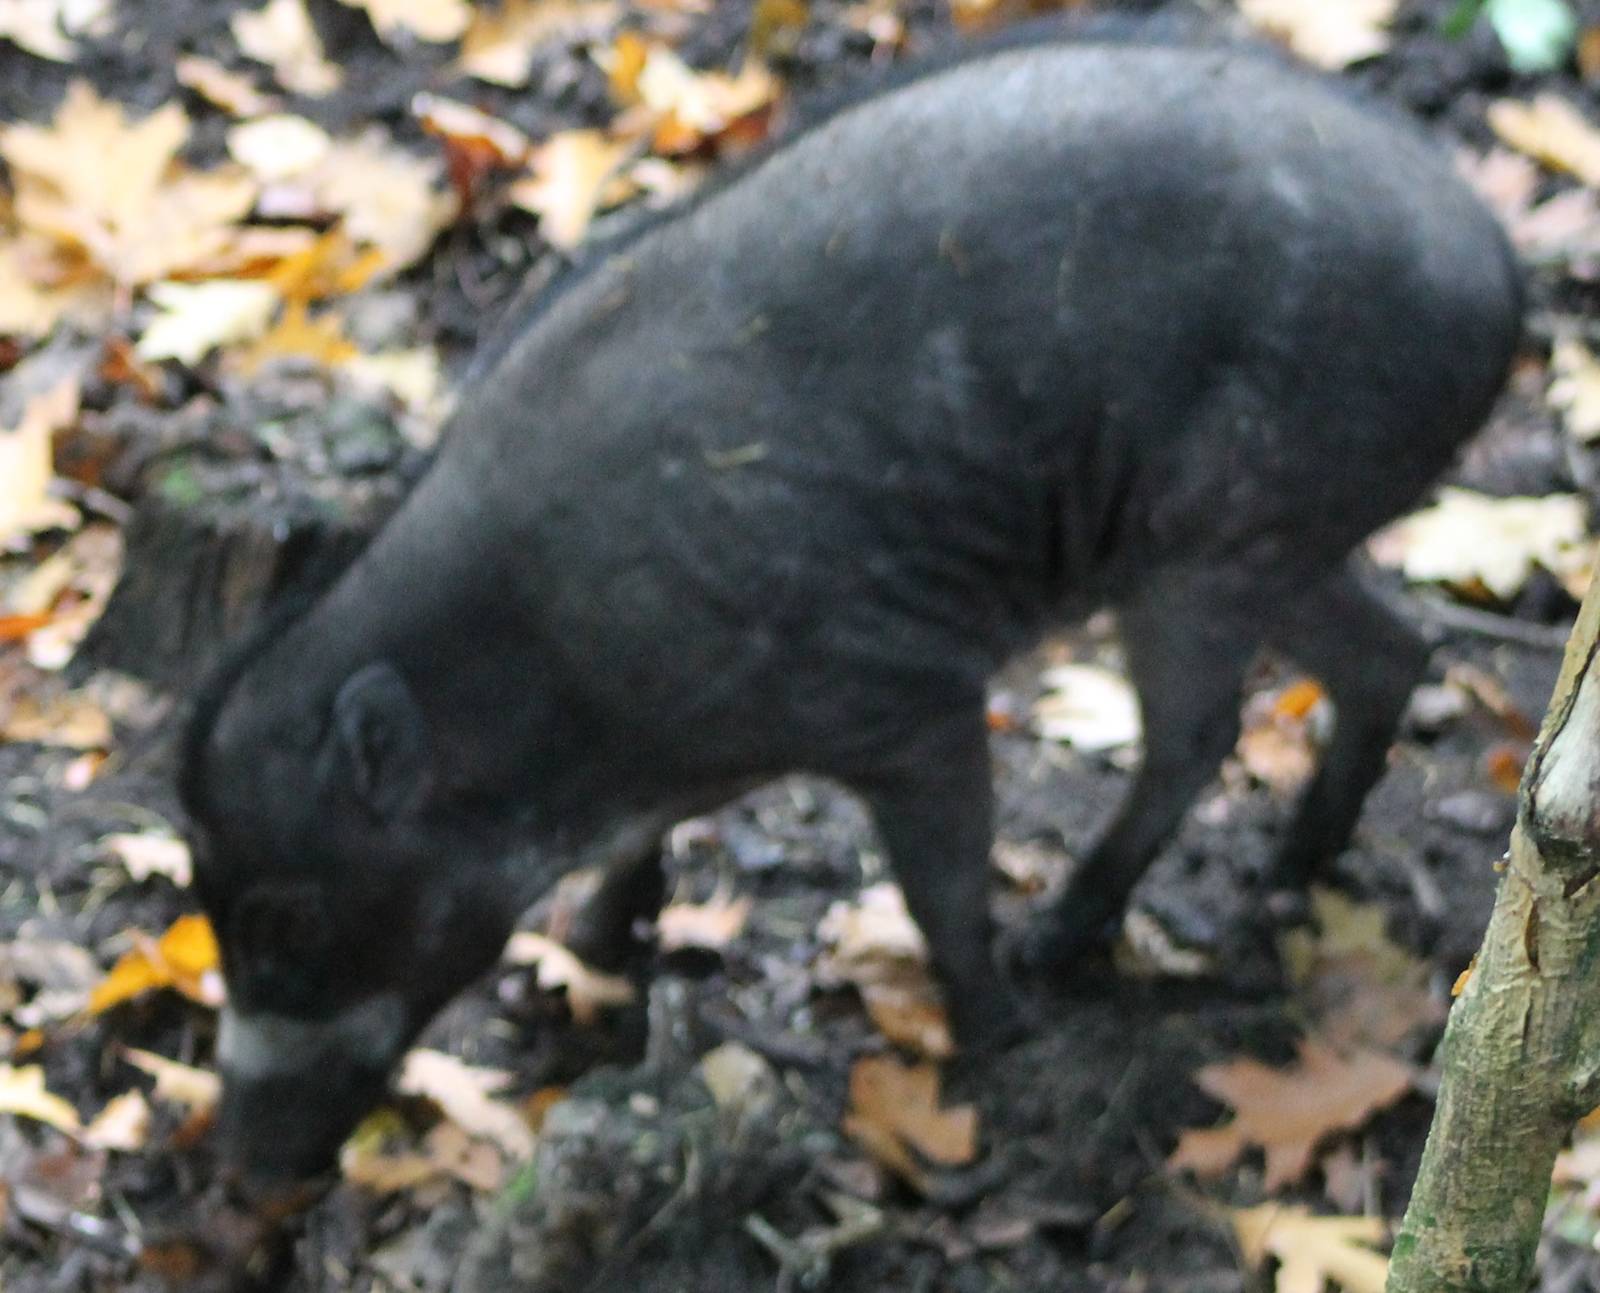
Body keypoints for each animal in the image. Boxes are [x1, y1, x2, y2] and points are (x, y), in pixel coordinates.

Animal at [179, 19, 1522, 1190]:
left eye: (287, 922)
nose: (236, 1173)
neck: (552, 677)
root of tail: (1504, 274)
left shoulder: (907, 699)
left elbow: (940, 887)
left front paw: (993, 1032)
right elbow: (640, 850)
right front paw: (595, 952)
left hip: (1213, 541)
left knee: (1201, 733)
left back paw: (1065, 941)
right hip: (1274, 540)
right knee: (1398, 654)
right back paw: (1289, 869)